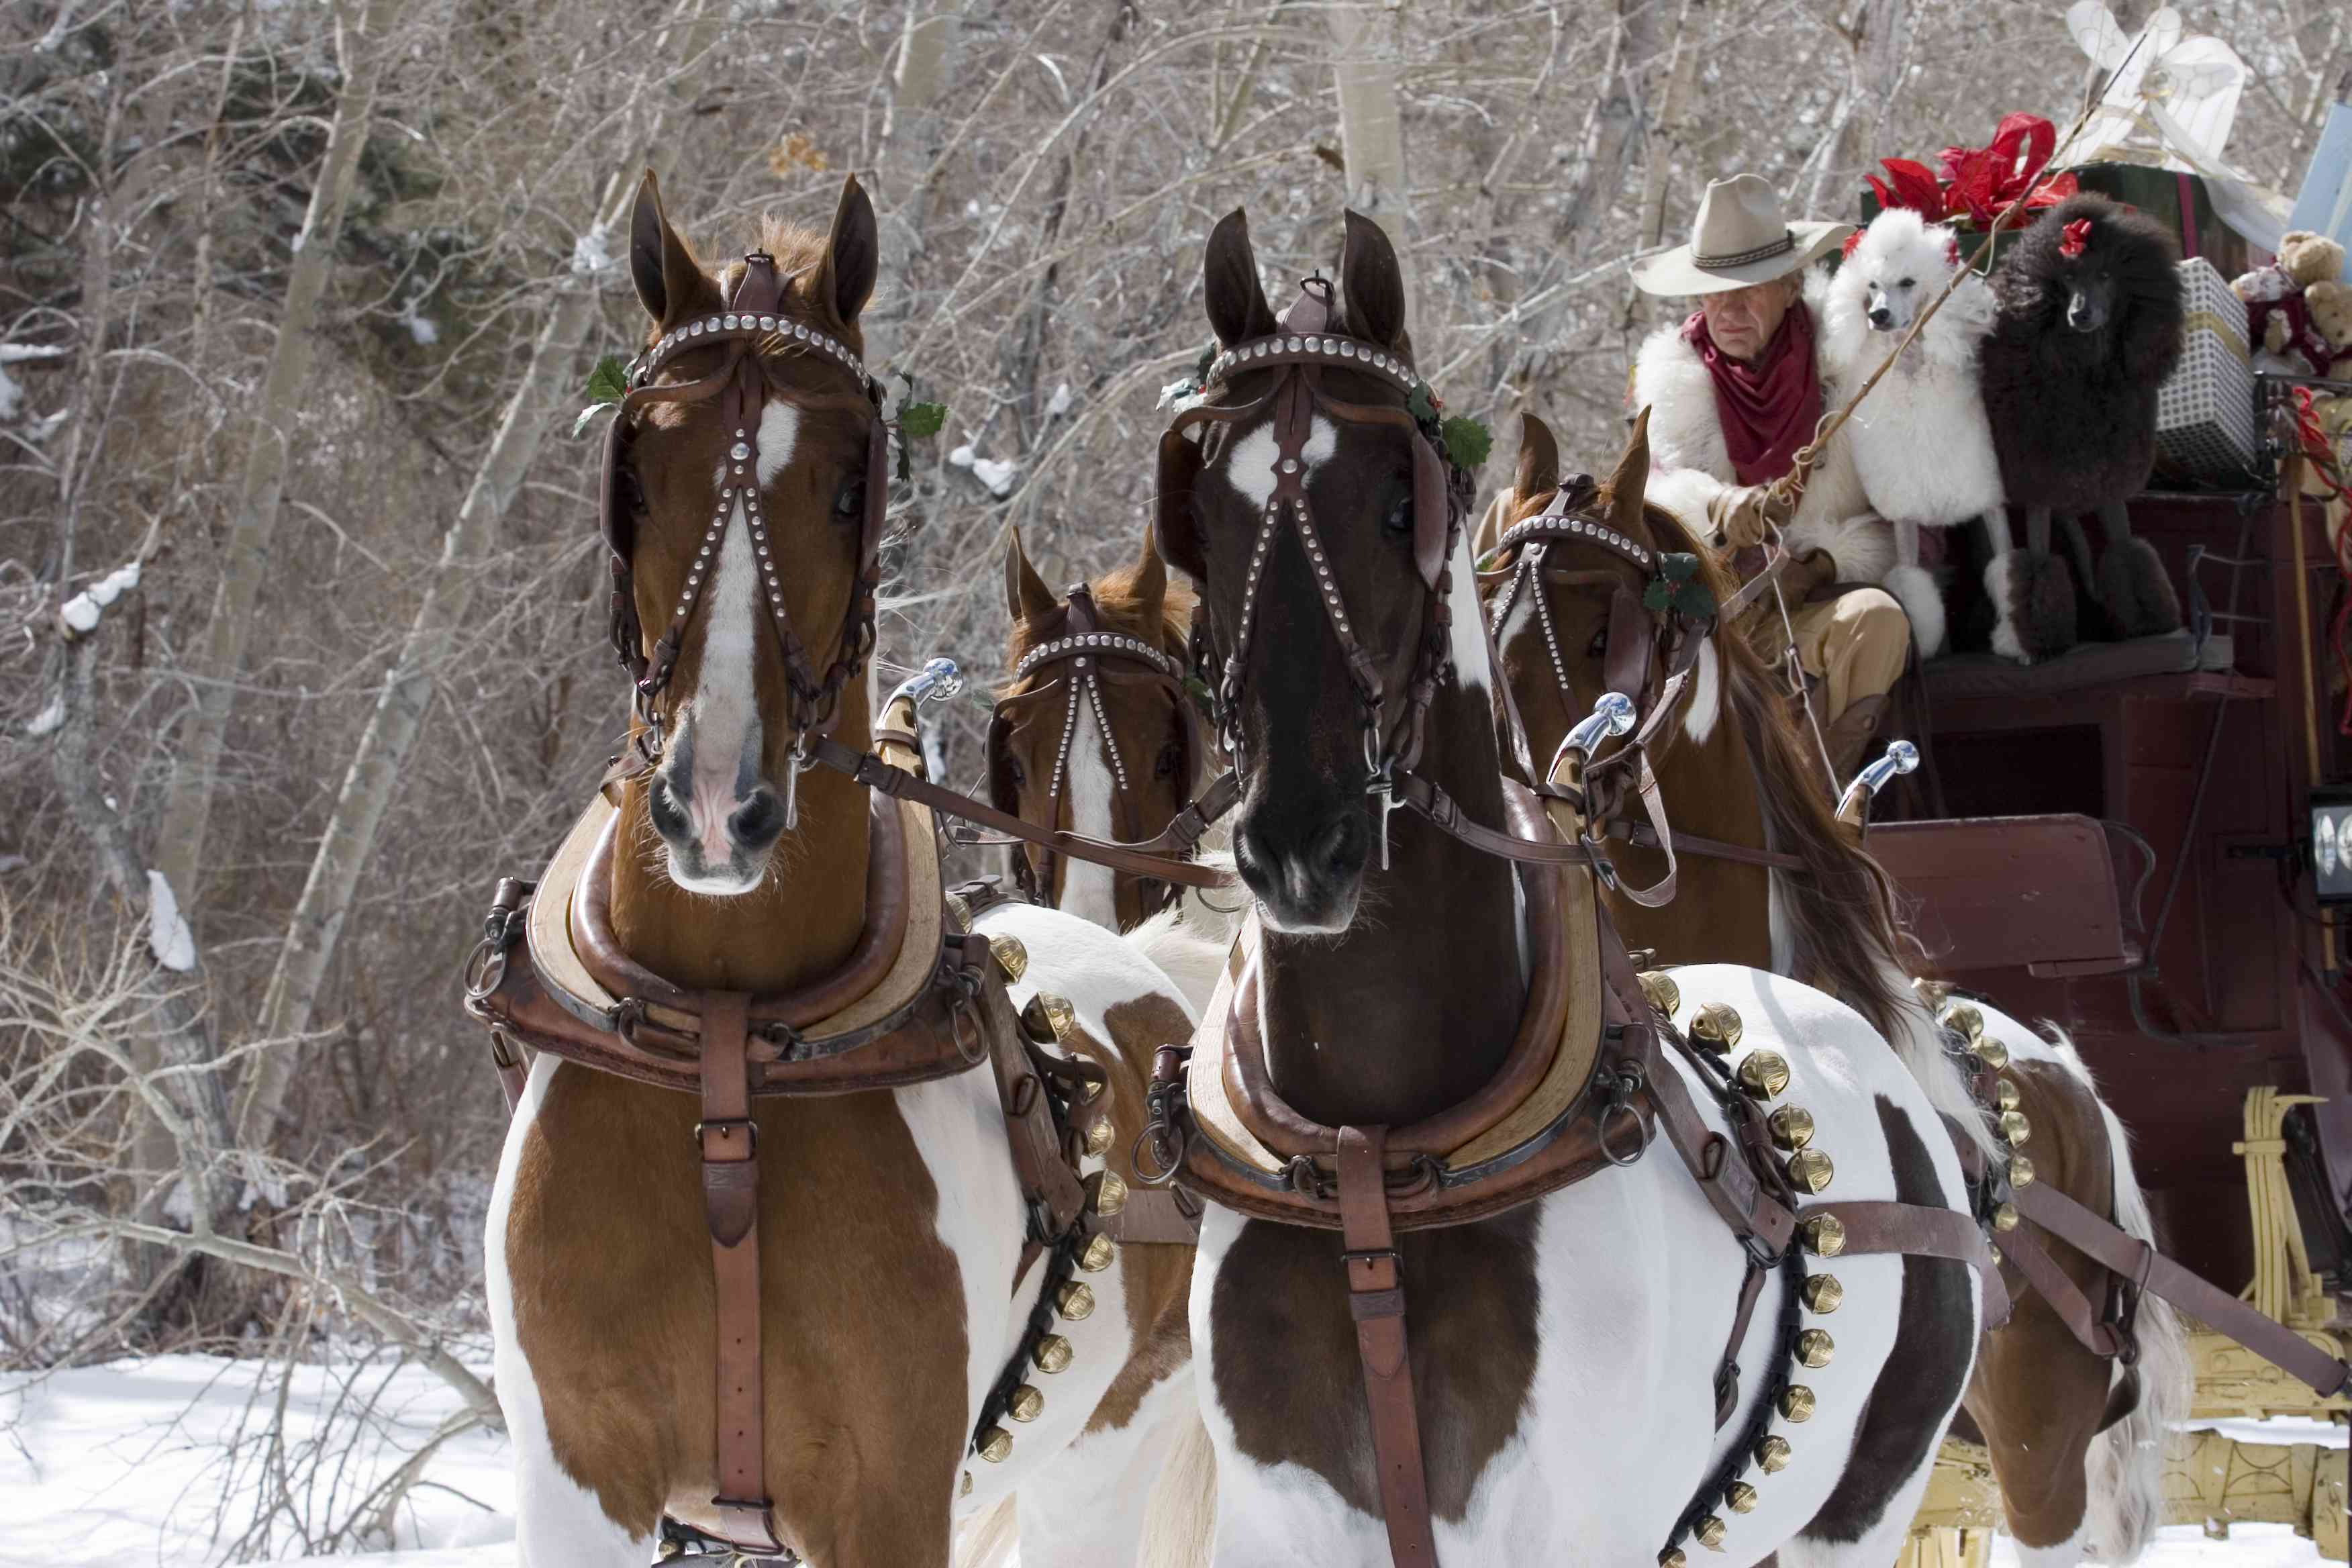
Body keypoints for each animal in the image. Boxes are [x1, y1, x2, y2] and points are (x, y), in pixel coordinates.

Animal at [484, 171, 1204, 1568]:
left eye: (841, 487)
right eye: (639, 473)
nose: (716, 806)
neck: (728, 1044)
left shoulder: (889, 1500)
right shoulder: (575, 1481)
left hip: (1105, 1461)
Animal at [1157, 202, 1985, 1561]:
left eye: (1401, 505)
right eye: (1201, 520)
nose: (1299, 845)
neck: (1379, 1165)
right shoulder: (1287, 1522)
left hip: (1862, 1507)